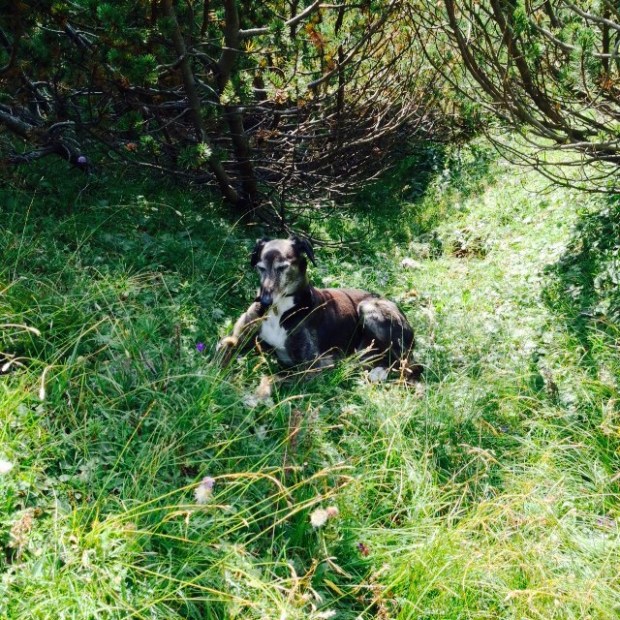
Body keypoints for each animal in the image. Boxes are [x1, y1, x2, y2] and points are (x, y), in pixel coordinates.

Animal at [217, 237, 416, 377]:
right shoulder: (235, 339)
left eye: (283, 267)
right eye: (260, 267)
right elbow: (221, 352)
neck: (280, 310)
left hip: (368, 308)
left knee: (405, 365)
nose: (263, 301)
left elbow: (280, 381)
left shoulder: (310, 366)